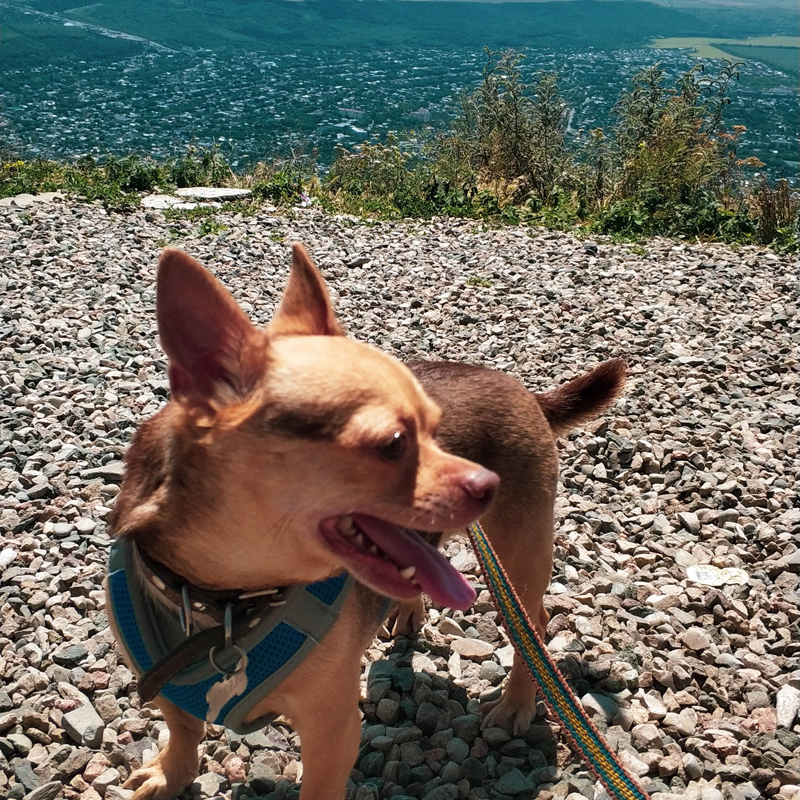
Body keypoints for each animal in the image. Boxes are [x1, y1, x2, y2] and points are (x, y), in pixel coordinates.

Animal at [108, 244, 624, 800]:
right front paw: (171, 774)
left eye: (437, 431)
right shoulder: (162, 683)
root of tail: (526, 392)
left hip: (521, 560)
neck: (221, 602)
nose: (490, 483)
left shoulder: (333, 729)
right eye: (394, 444)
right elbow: (183, 726)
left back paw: (515, 704)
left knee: (535, 627)